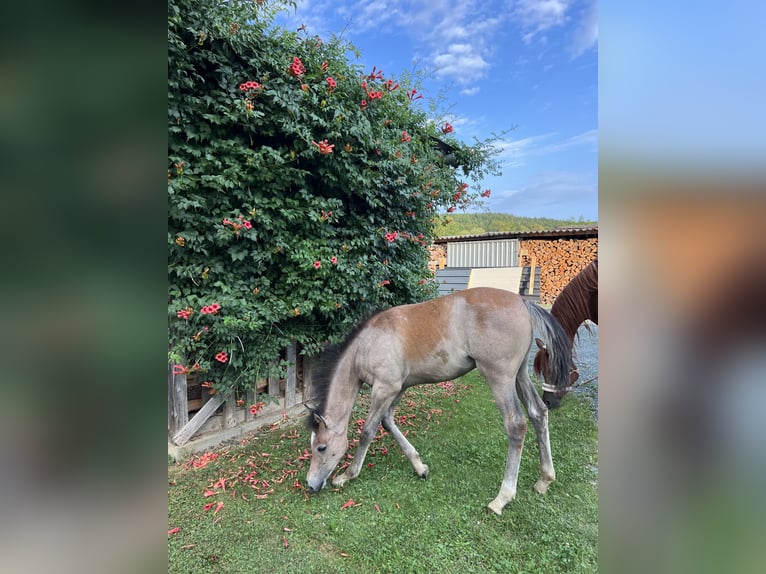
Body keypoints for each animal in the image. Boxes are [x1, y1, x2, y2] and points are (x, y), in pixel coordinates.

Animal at [304, 290, 572, 516]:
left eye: (321, 447)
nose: (311, 485)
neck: (367, 344)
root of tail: (523, 302)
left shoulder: (384, 388)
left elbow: (367, 432)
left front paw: (347, 475)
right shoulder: (398, 389)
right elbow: (388, 422)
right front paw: (420, 467)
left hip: (500, 378)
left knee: (516, 424)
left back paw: (502, 498)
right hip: (519, 375)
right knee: (538, 412)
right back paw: (544, 480)